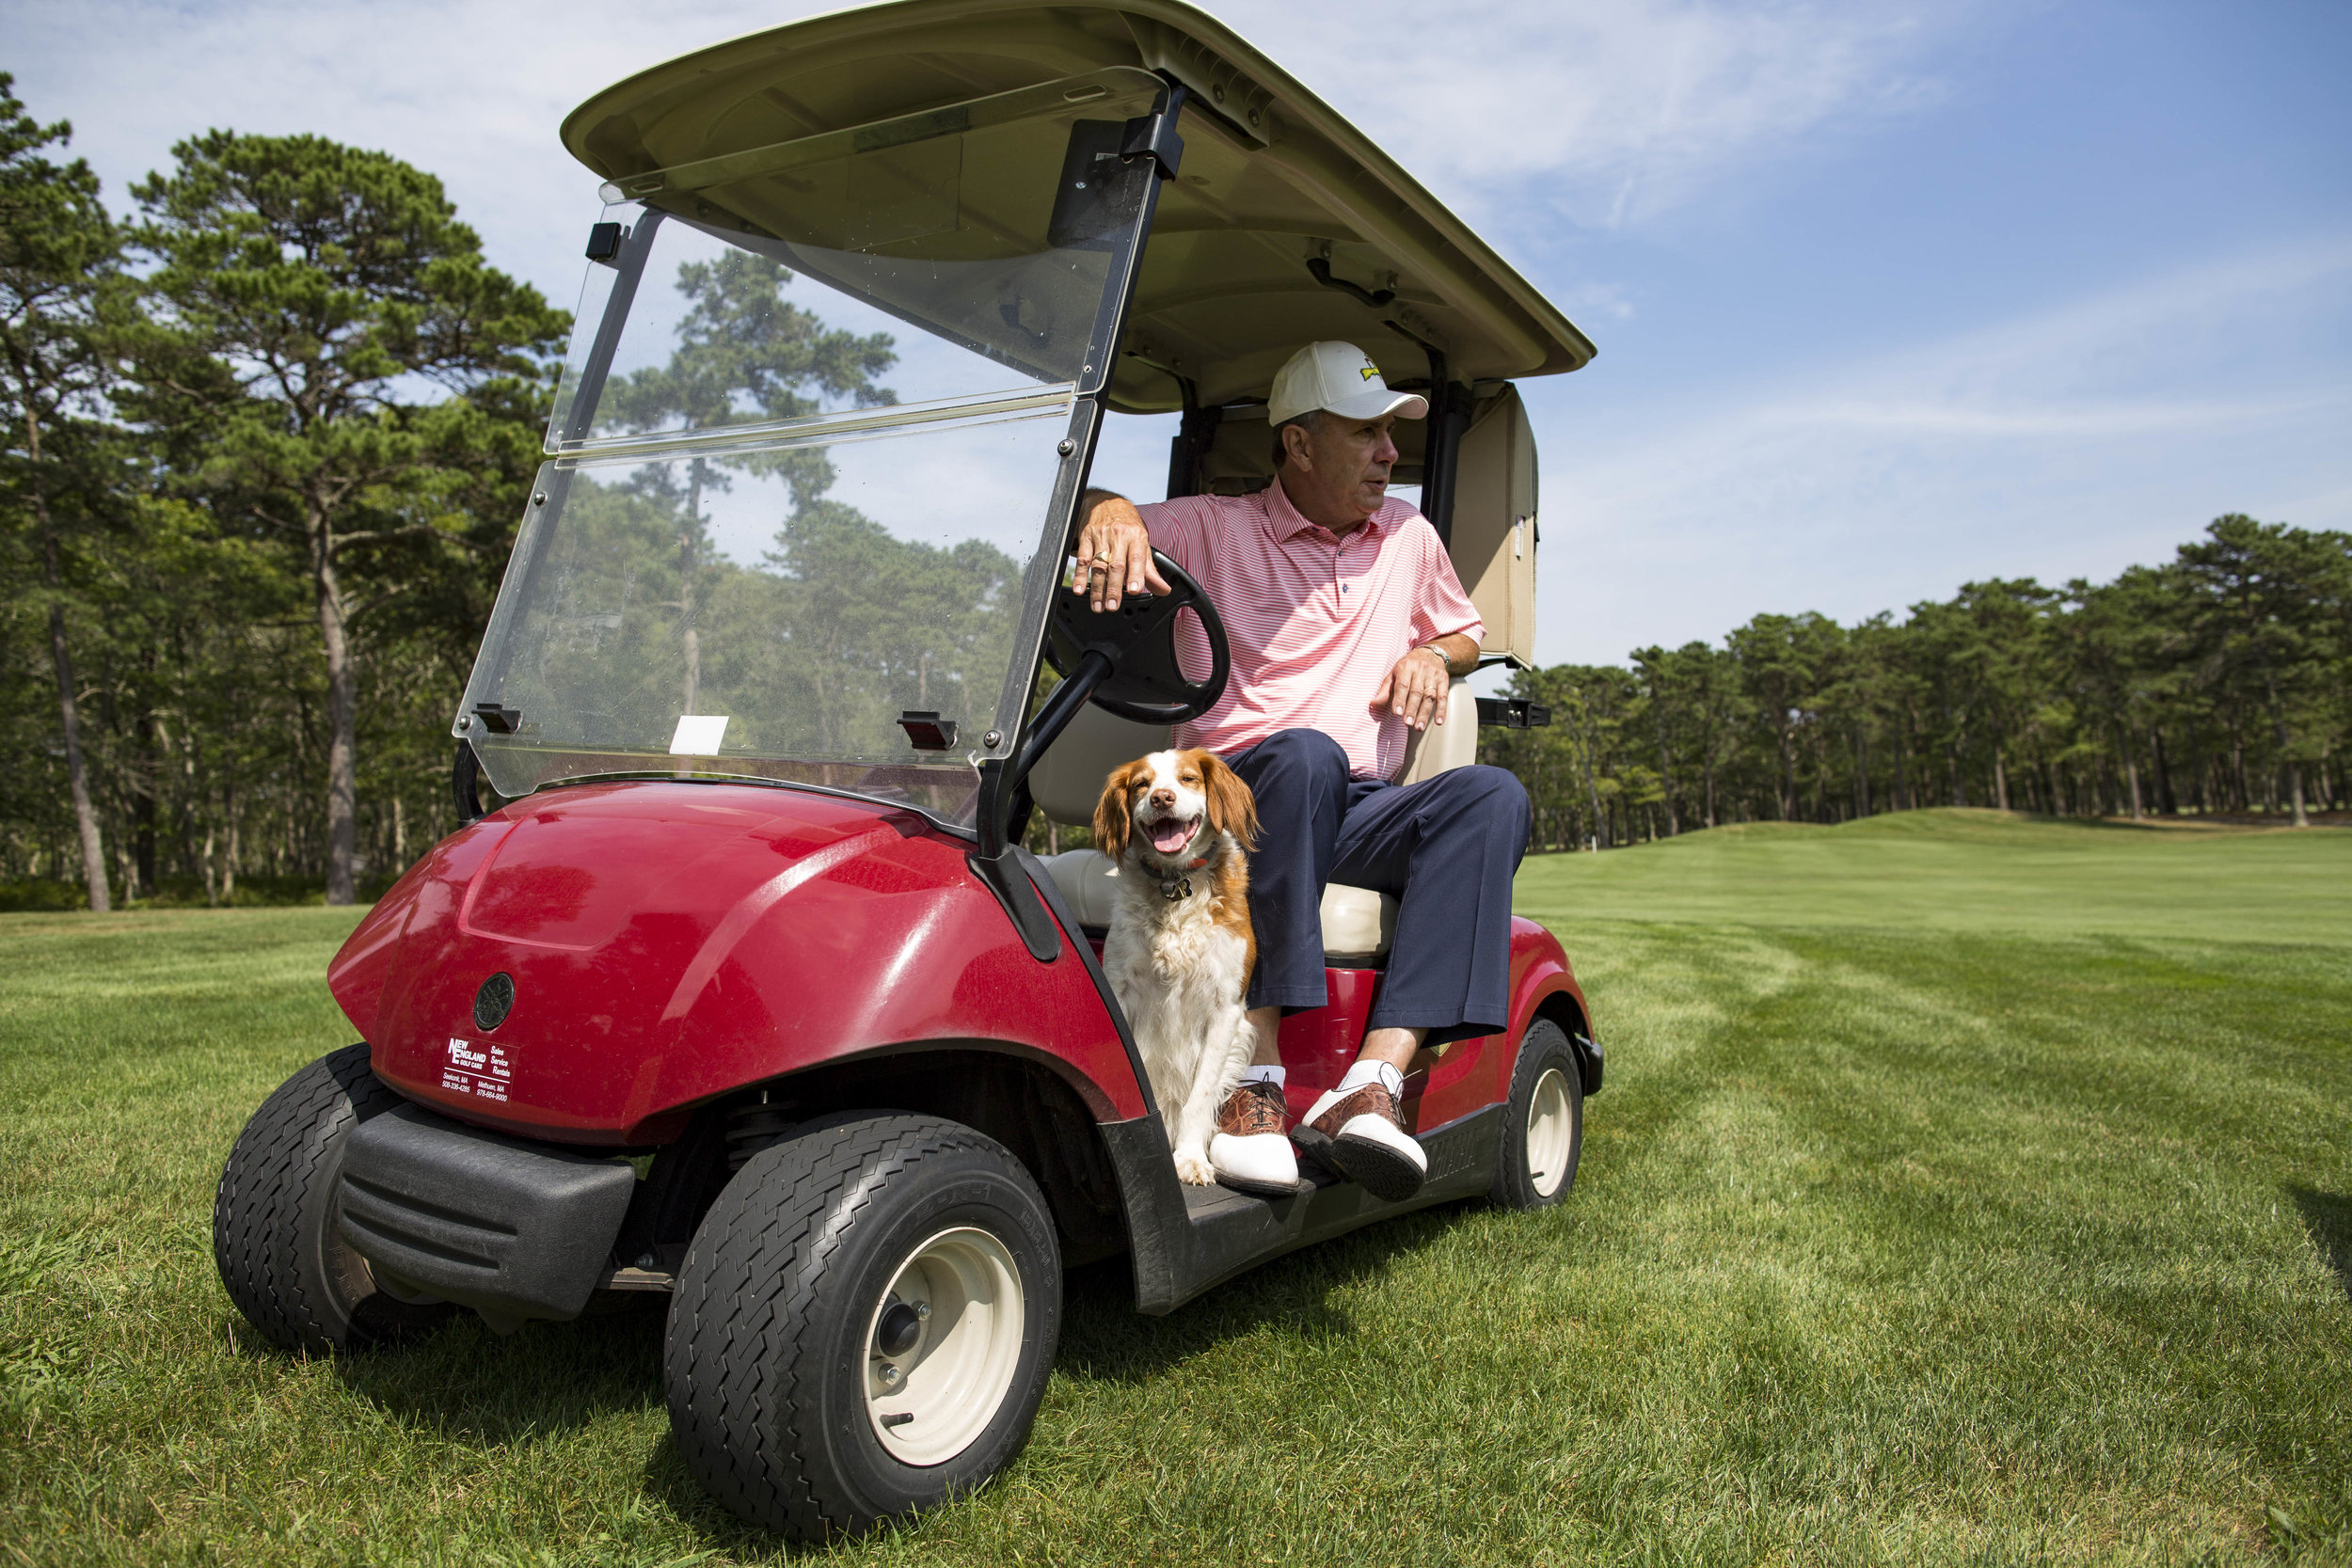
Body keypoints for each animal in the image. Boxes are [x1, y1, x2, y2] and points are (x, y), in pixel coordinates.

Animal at [1087, 752, 1261, 1184]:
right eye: (1141, 785)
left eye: (1188, 779)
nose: (1162, 798)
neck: (1176, 888)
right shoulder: (1120, 992)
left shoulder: (1225, 1009)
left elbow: (1199, 1096)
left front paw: (1189, 1158)